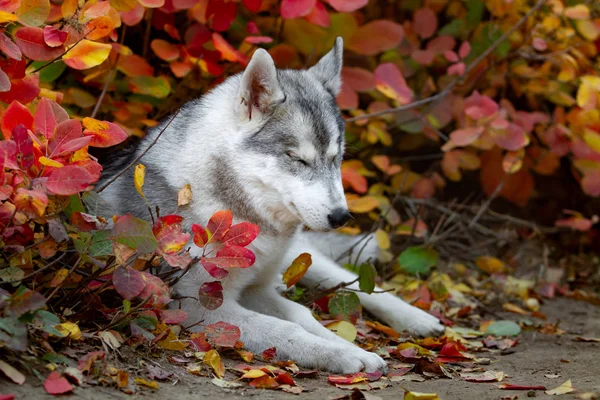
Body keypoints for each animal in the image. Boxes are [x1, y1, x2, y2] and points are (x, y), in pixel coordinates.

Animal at [99, 38, 446, 376]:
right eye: (297, 159)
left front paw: (351, 347)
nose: (341, 217)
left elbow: (302, 314)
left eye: (337, 158)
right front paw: (346, 354)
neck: (236, 213)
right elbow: (286, 329)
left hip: (300, 255)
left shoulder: (257, 290)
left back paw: (418, 319)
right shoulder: (198, 306)